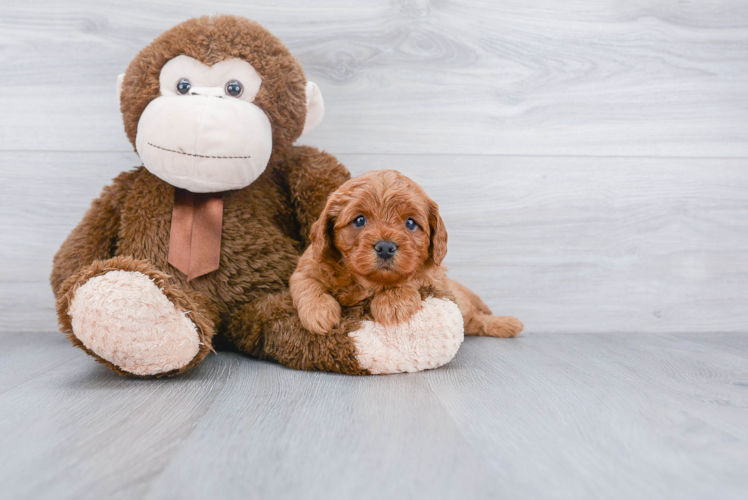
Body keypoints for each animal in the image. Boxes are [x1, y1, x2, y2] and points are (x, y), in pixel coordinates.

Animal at [290, 170, 524, 338]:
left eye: (410, 223)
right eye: (359, 220)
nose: (386, 247)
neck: (368, 283)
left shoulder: (434, 275)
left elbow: (412, 277)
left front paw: (393, 302)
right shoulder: (308, 265)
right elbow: (307, 284)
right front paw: (319, 312)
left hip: (460, 303)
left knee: (476, 319)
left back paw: (508, 324)